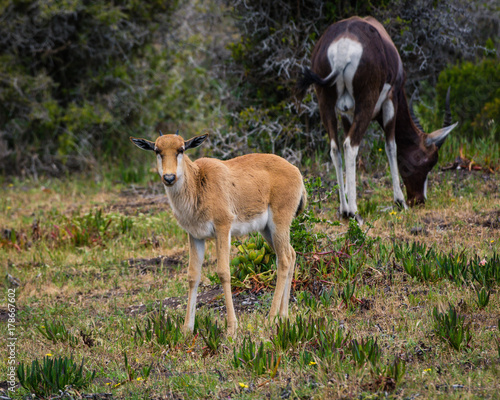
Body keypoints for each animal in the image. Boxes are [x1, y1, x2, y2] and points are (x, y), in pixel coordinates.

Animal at [131, 133, 306, 336]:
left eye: (181, 149)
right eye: (157, 150)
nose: (169, 177)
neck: (199, 182)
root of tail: (296, 171)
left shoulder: (223, 229)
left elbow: (223, 272)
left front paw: (231, 328)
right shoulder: (195, 236)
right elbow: (193, 276)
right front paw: (186, 329)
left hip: (278, 224)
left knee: (284, 259)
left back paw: (271, 318)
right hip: (267, 231)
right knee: (290, 254)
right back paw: (283, 316)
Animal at [296, 16, 458, 222]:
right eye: (430, 161)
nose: (418, 200)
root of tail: (343, 47)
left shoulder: (347, 113)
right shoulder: (391, 100)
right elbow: (391, 146)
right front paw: (400, 201)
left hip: (325, 103)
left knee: (336, 148)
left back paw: (343, 209)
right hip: (367, 101)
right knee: (351, 145)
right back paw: (354, 212)